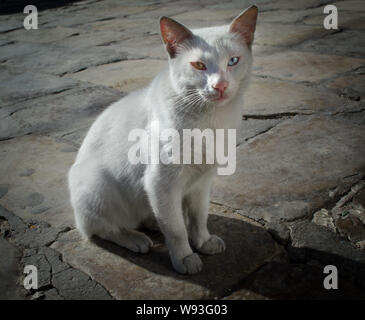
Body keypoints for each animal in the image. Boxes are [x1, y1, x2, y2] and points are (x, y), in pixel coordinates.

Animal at [67, 5, 256, 276]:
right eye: (199, 65)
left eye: (233, 61)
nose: (219, 85)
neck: (211, 119)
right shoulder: (161, 182)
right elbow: (177, 231)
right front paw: (185, 258)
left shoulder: (202, 181)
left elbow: (198, 218)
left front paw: (203, 242)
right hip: (98, 186)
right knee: (101, 229)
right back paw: (136, 239)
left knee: (154, 215)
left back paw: (154, 223)